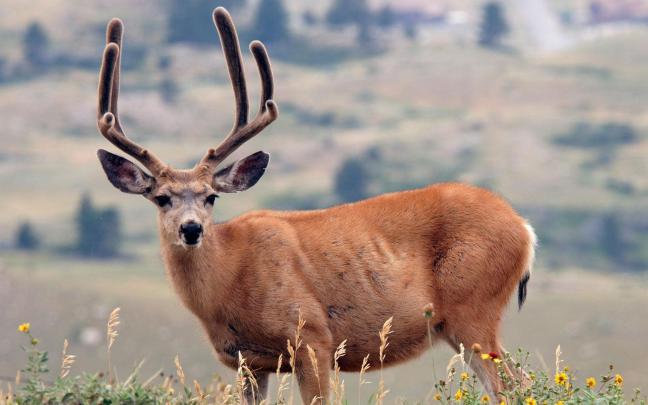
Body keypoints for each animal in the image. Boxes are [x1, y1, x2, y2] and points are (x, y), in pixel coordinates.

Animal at [95, 7, 536, 404]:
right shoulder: (248, 362)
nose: (191, 228)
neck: (230, 278)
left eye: (211, 196)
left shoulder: (312, 337)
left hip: (473, 307)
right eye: (161, 198)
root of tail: (524, 229)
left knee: (514, 386)